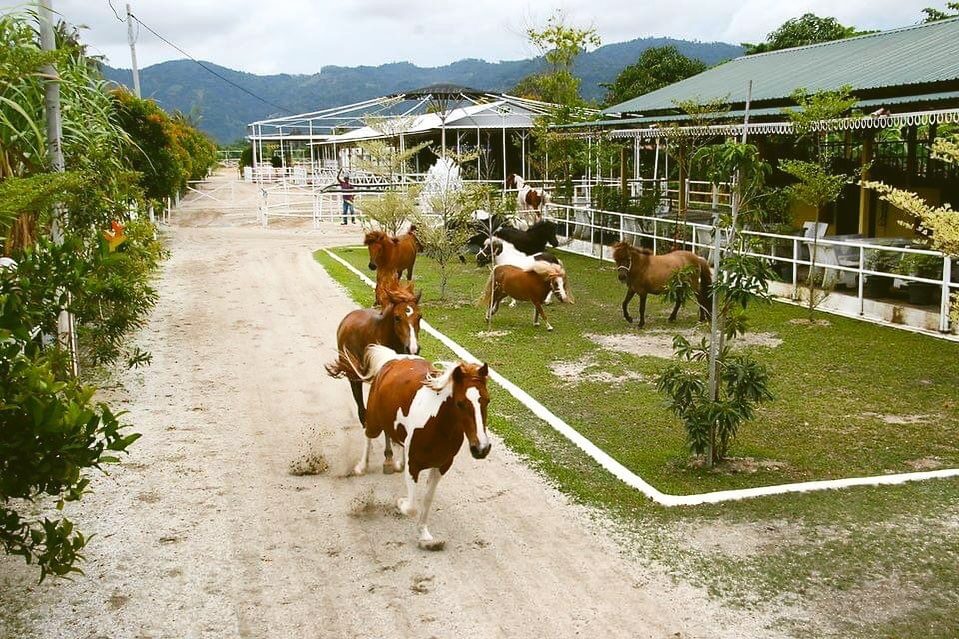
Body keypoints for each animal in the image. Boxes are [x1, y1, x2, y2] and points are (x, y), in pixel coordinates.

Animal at [324, 284, 422, 470]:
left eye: (420, 316)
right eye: (397, 317)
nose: (413, 348)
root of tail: (347, 319)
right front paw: (389, 456)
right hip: (354, 378)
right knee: (362, 412)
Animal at [358, 344, 496, 552]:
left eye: (486, 400)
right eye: (460, 403)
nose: (481, 448)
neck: (438, 426)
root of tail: (392, 358)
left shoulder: (441, 466)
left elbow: (427, 500)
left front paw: (425, 536)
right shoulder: (414, 465)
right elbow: (411, 507)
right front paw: (400, 503)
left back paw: (394, 462)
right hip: (374, 422)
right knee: (367, 436)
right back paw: (362, 467)